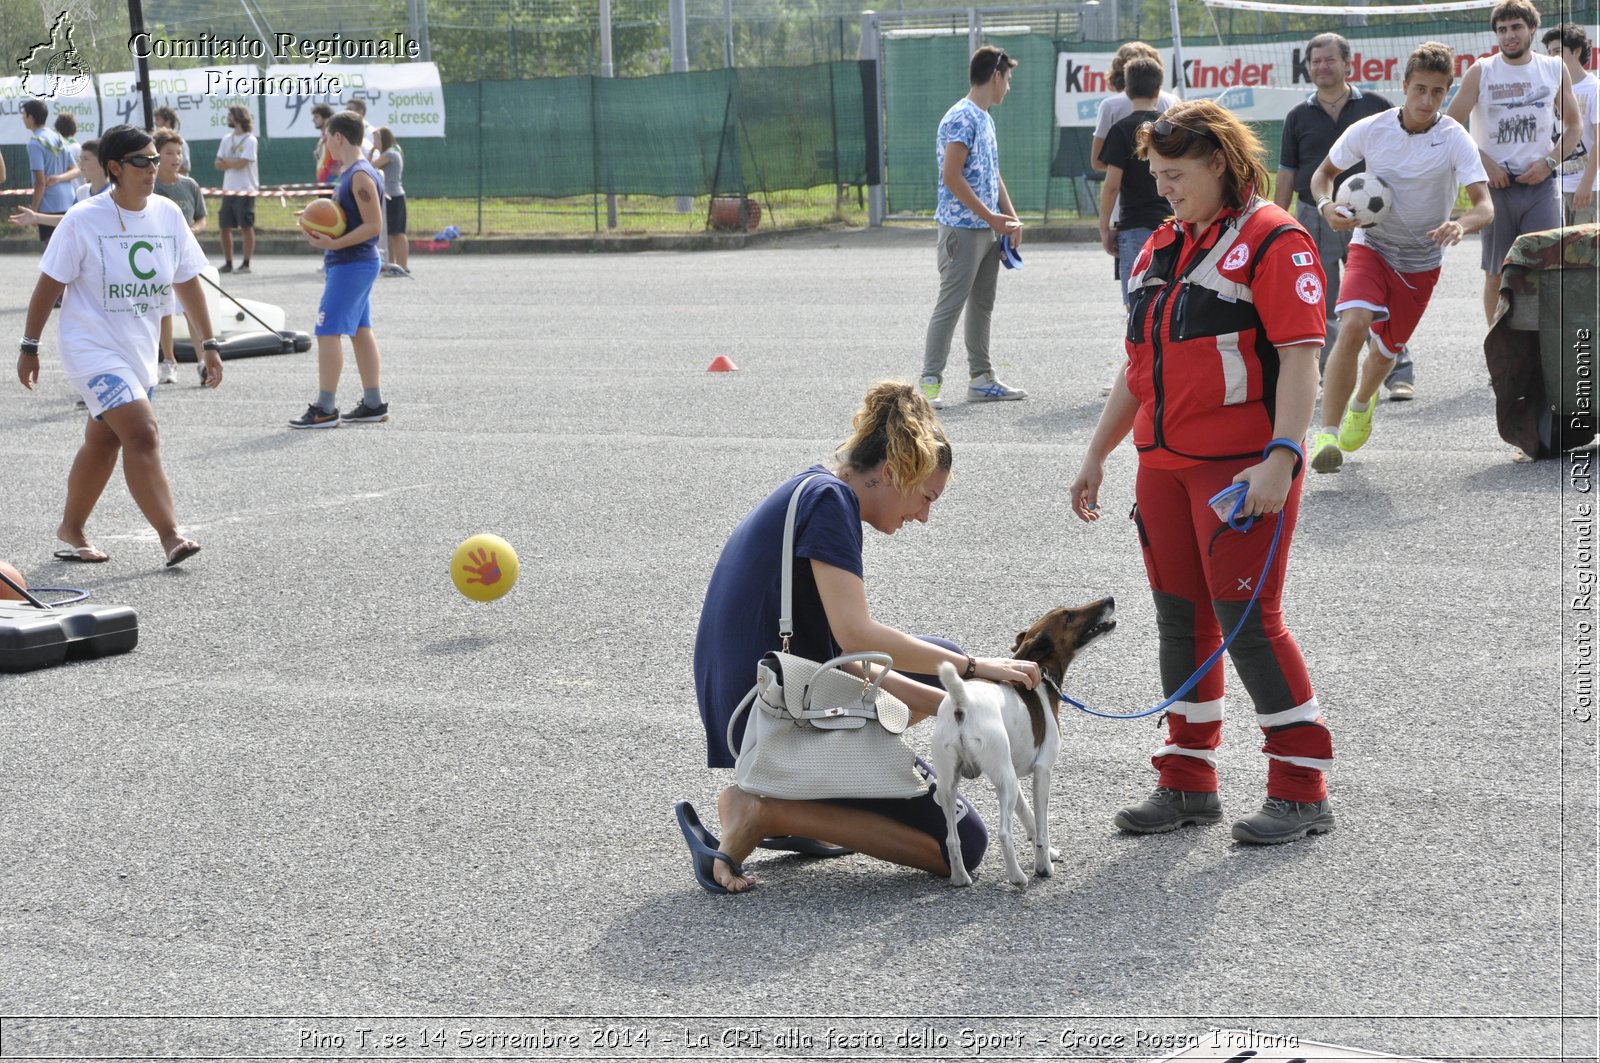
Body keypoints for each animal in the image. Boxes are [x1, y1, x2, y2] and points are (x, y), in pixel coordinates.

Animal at [934, 598, 1120, 890]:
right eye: (1069, 616)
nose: (1109, 600)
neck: (1042, 675)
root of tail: (961, 701)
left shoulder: (1013, 778)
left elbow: (1029, 816)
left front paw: (1049, 854)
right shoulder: (1042, 771)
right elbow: (1042, 825)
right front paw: (1043, 866)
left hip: (954, 784)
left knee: (952, 838)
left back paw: (960, 877)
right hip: (1003, 781)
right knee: (1003, 833)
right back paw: (1017, 877)